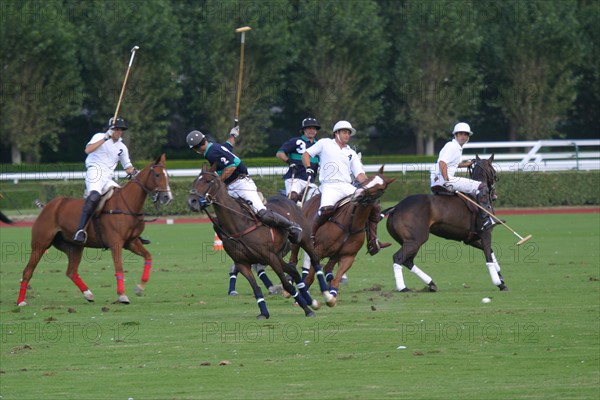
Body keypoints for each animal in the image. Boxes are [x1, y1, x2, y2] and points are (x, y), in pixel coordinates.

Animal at [17, 153, 172, 306]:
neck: (127, 205)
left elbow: (148, 257)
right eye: (157, 175)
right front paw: (122, 295)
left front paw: (139, 288)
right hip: (40, 244)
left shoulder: (132, 242)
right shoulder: (116, 243)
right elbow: (119, 268)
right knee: (27, 272)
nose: (167, 197)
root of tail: (47, 206)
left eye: (167, 175)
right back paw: (21, 301)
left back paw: (88, 294)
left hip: (74, 247)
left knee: (71, 272)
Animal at [188, 168, 332, 318]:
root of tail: (290, 200)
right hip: (279, 255)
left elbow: (286, 284)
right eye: (195, 181)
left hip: (303, 241)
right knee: (293, 271)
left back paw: (327, 296)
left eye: (208, 181)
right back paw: (311, 301)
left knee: (314, 261)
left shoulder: (269, 257)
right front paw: (264, 312)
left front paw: (307, 310)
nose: (192, 201)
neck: (239, 225)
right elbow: (256, 288)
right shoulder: (242, 263)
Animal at [298, 166, 396, 300]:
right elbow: (310, 277)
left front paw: (332, 296)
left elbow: (337, 278)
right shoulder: (319, 250)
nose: (357, 194)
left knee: (328, 267)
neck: (350, 225)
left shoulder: (348, 256)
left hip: (335, 254)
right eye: (368, 179)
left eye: (380, 189)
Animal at [384, 155, 506, 290]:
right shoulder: (485, 233)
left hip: (408, 240)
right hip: (415, 240)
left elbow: (490, 252)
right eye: (494, 171)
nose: (494, 194)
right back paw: (403, 288)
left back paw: (431, 284)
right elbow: (489, 256)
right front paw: (499, 282)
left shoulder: (471, 239)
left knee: (407, 261)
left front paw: (501, 279)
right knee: (398, 257)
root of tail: (396, 207)